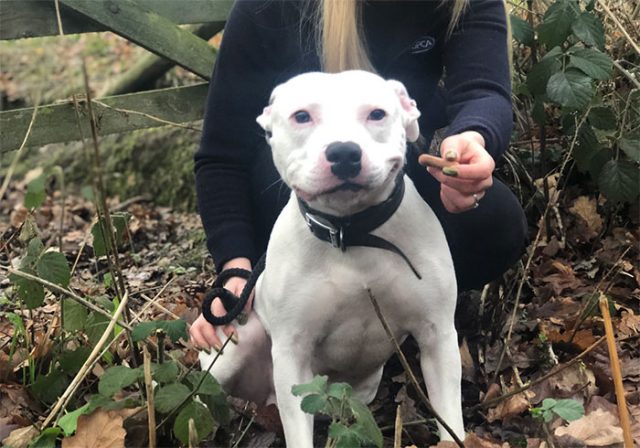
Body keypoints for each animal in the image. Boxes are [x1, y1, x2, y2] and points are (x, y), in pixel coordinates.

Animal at [198, 70, 462, 444]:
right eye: (301, 116)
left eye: (377, 113)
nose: (344, 152)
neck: (351, 234)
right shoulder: (293, 354)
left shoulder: (437, 335)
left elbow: (452, 420)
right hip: (235, 344)